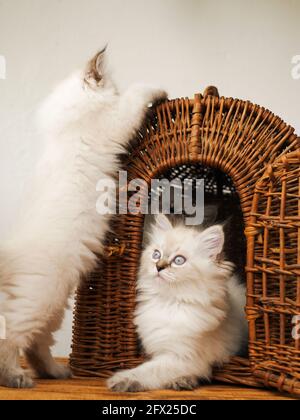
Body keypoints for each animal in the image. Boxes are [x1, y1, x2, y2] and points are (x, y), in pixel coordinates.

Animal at [0, 48, 168, 388]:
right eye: (113, 88)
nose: (114, 91)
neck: (66, 129)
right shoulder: (115, 121)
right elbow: (138, 93)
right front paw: (160, 90)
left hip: (53, 306)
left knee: (37, 345)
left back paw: (55, 371)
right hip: (40, 299)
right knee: (11, 340)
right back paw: (15, 377)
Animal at [109, 215, 247, 392]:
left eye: (179, 260)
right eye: (156, 254)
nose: (158, 266)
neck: (168, 302)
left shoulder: (185, 357)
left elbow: (149, 370)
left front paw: (122, 379)